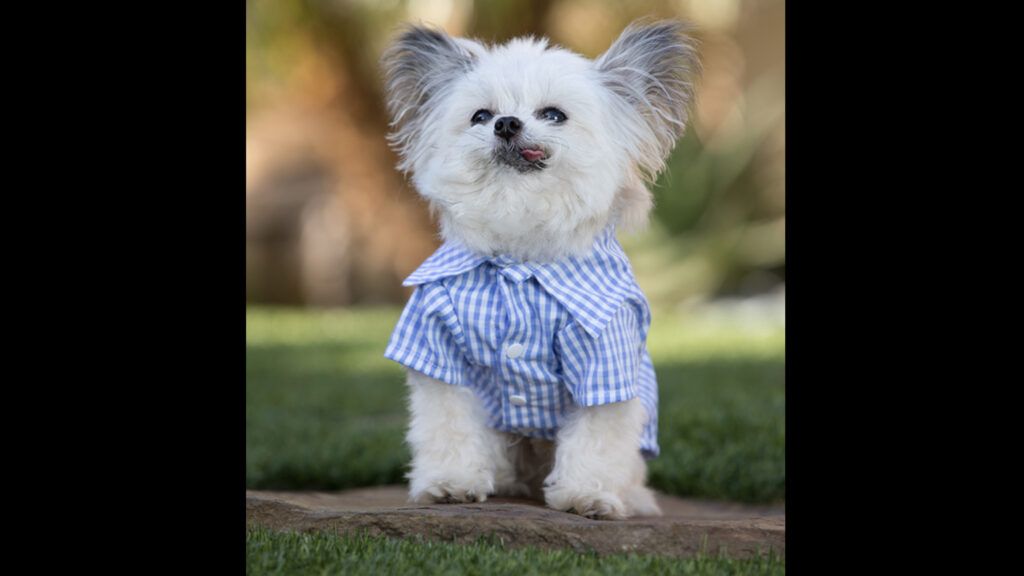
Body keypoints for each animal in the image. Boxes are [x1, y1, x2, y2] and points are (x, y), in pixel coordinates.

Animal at [380, 20, 700, 518]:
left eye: (553, 115)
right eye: (480, 116)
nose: (507, 123)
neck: (521, 259)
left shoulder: (603, 362)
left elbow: (597, 438)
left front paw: (587, 496)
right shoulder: (439, 352)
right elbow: (448, 427)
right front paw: (450, 483)